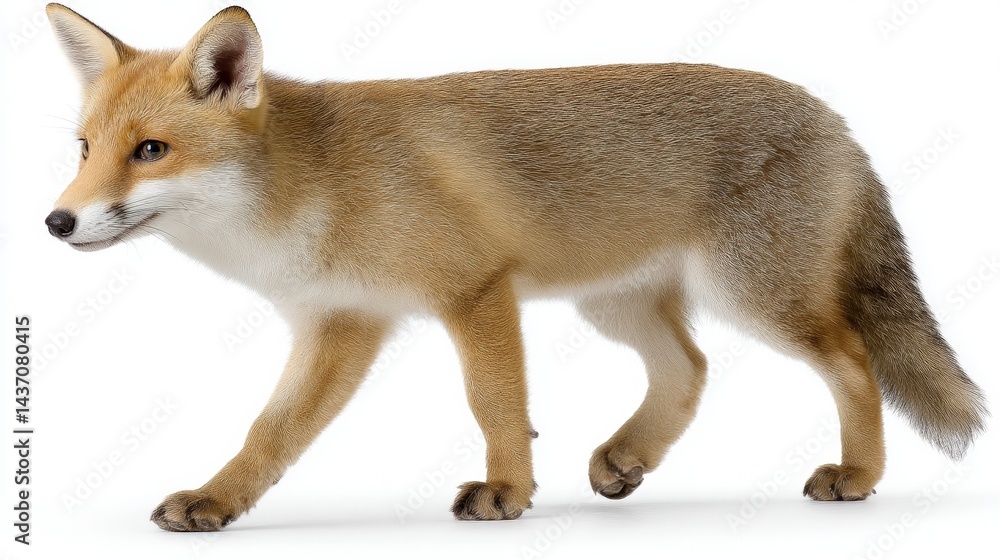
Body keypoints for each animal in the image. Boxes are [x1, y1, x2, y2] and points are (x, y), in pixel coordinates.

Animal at [44, 3, 987, 532]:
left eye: (151, 151)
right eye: (86, 150)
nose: (56, 222)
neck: (315, 191)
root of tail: (834, 115)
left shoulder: (475, 291)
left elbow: (495, 404)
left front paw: (506, 491)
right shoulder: (343, 322)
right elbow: (271, 434)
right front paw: (220, 501)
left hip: (756, 296)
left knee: (853, 363)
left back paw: (858, 477)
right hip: (618, 306)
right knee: (689, 368)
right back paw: (627, 457)